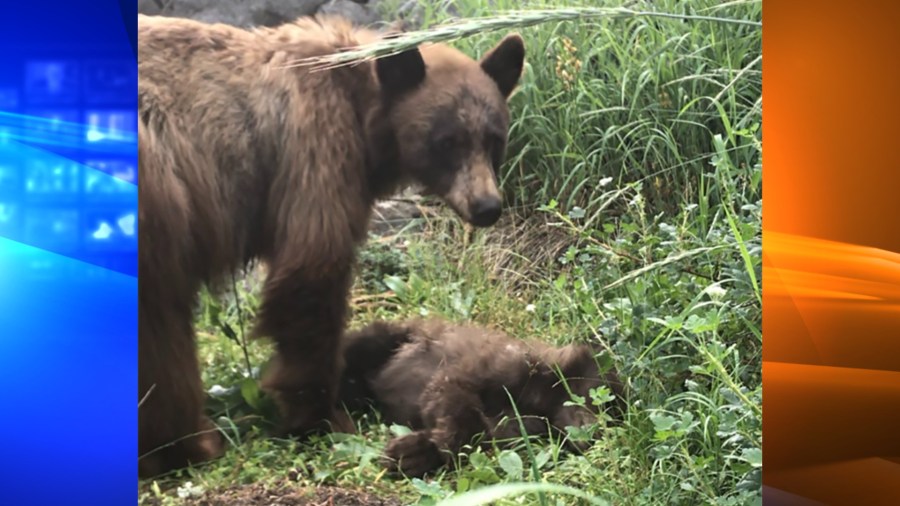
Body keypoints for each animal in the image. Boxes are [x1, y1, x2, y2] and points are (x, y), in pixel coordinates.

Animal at [137, 13, 524, 476]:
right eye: (447, 141)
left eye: (494, 138)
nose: (487, 207)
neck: (362, 105)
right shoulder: (315, 148)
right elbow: (311, 274)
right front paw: (322, 416)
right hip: (155, 194)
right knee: (159, 324)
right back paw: (187, 443)